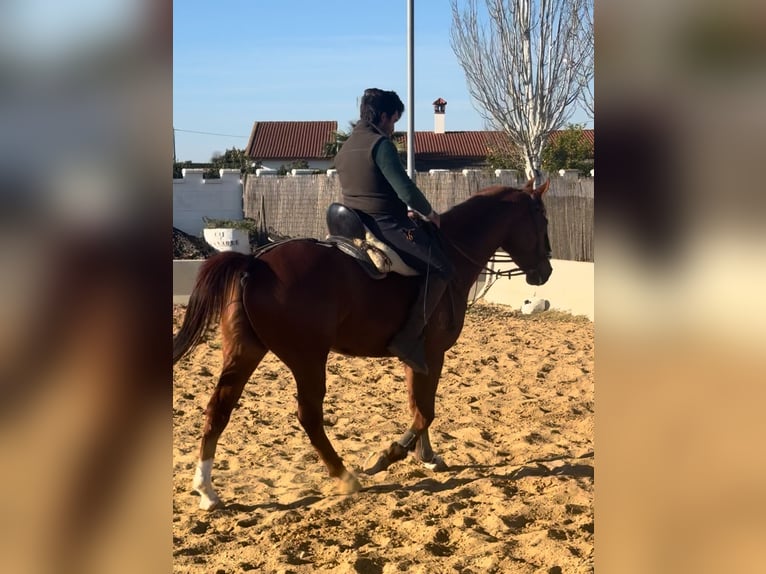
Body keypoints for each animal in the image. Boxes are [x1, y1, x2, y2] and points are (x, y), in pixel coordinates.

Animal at [176, 178, 552, 510]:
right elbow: (425, 411)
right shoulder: (432, 353)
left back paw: (207, 491)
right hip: (307, 359)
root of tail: (255, 262)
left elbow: (418, 406)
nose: (546, 271)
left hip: (245, 352)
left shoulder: (418, 357)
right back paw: (344, 475)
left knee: (218, 409)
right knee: (309, 416)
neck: (451, 253)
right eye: (542, 219)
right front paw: (388, 455)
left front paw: (427, 456)